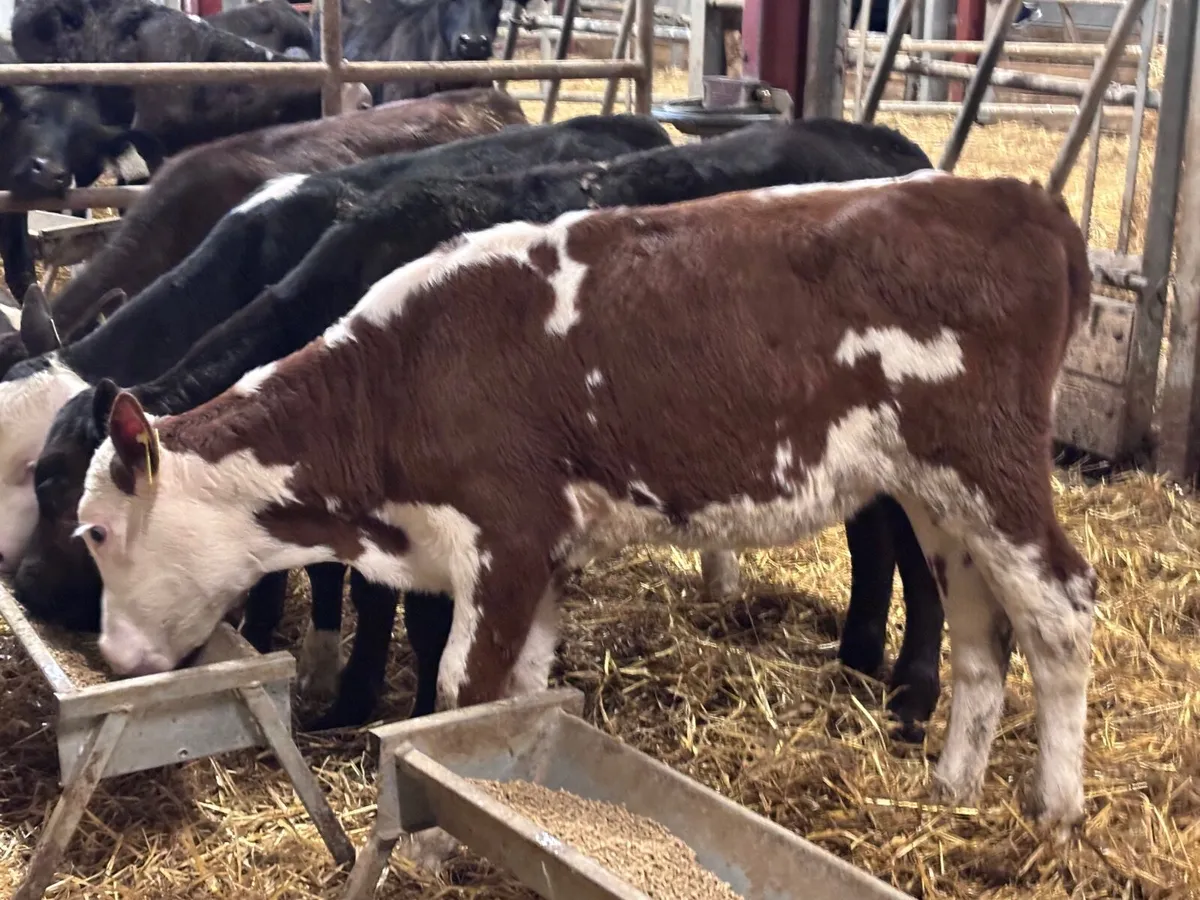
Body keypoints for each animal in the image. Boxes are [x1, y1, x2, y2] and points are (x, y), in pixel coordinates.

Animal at [23, 117, 946, 734]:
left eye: (59, 485)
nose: (24, 585)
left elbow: (397, 605)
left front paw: (376, 704)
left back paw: (912, 690)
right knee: (874, 535)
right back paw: (859, 655)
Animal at [76, 173, 1097, 842]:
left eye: (93, 530)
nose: (113, 657)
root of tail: (1016, 197)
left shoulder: (507, 539)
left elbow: (460, 695)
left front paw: (438, 842)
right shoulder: (546, 557)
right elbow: (522, 695)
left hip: (991, 466)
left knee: (1060, 608)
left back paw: (1054, 809)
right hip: (941, 497)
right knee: (980, 630)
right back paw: (954, 785)